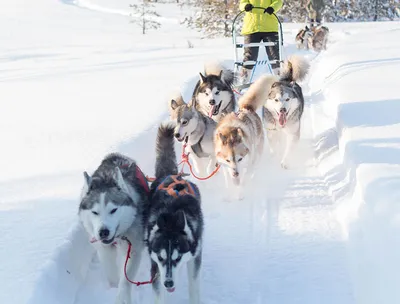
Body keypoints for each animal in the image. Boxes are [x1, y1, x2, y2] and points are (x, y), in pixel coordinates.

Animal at [79, 153, 149, 304]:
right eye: (95, 212)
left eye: (113, 210)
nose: (103, 232)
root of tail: (115, 155)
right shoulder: (104, 249)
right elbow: (110, 273)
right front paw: (113, 287)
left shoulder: (133, 248)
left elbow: (125, 279)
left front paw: (122, 297)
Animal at [145, 124, 203, 304]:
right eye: (161, 258)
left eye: (177, 258)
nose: (168, 282)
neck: (170, 219)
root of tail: (170, 174)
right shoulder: (155, 266)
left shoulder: (195, 257)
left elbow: (194, 286)